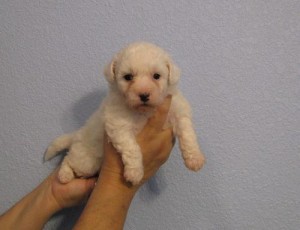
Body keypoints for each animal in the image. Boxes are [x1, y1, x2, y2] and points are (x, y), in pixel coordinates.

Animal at [44, 41, 205, 185]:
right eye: (128, 77)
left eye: (156, 76)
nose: (144, 95)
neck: (145, 111)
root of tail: (77, 134)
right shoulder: (119, 125)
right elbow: (132, 149)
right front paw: (135, 173)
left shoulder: (179, 111)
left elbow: (187, 134)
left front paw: (194, 158)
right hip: (86, 161)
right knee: (67, 160)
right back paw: (64, 175)